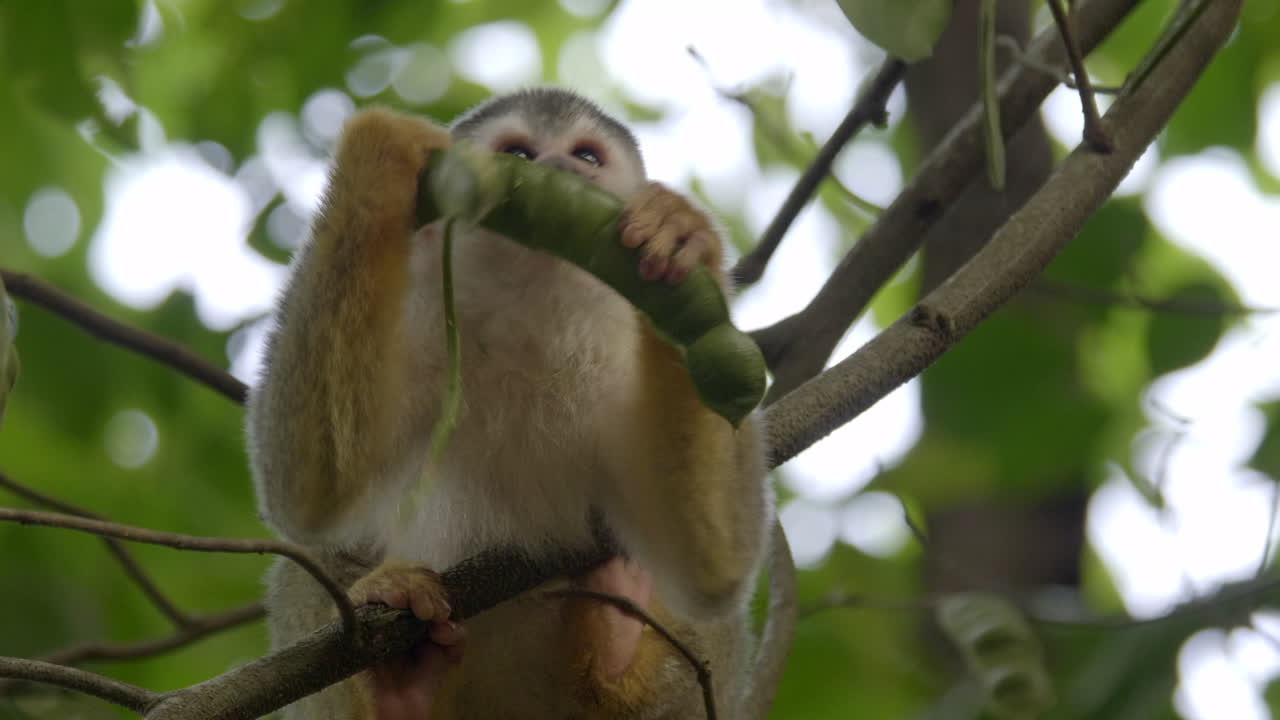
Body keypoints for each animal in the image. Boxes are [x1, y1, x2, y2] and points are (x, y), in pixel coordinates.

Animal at [246, 87, 771, 719]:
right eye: (519, 152)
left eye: (587, 156)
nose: (562, 170)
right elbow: (306, 497)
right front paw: (381, 151)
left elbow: (714, 569)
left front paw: (683, 233)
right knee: (315, 560)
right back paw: (401, 680)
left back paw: (615, 642)